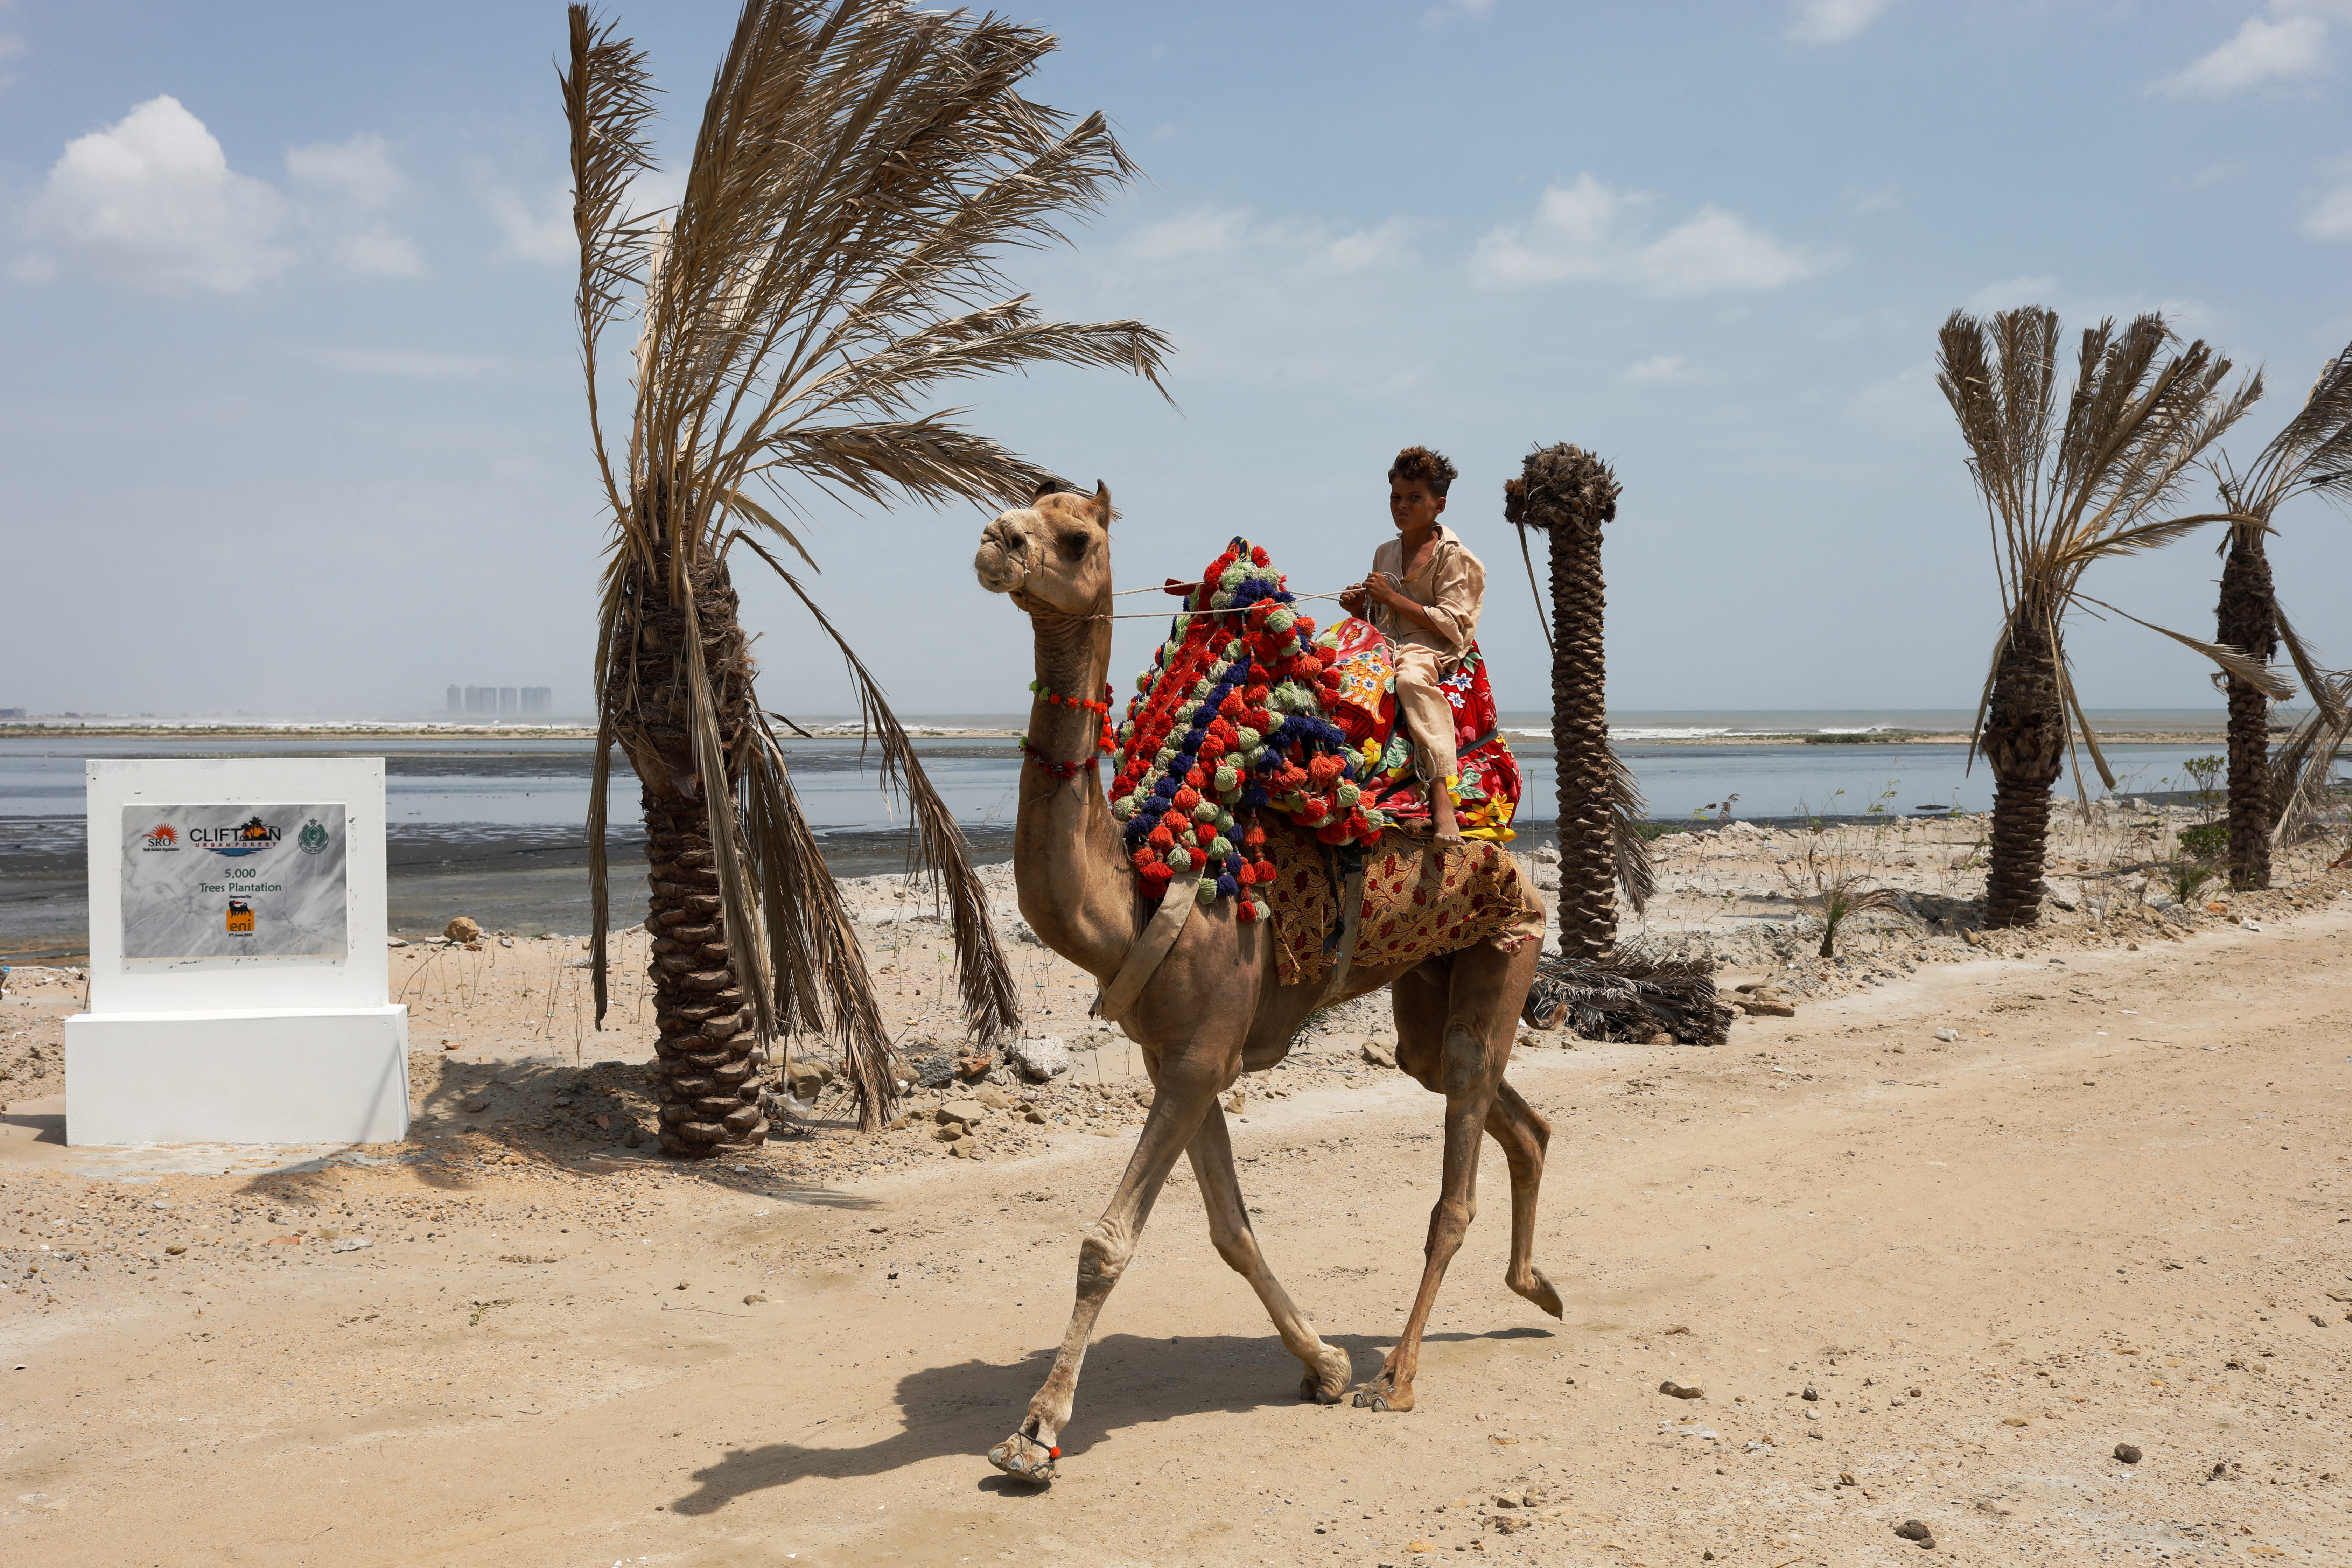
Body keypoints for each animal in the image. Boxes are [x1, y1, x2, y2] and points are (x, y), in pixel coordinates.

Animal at [971, 481, 1562, 1485]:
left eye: (1075, 535)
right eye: (1019, 511)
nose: (994, 541)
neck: (1138, 893)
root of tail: (1514, 862)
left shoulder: (1200, 1056)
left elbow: (1106, 1242)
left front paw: (1036, 1432)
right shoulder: (1181, 1057)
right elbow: (1230, 1229)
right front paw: (1322, 1364)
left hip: (1508, 941)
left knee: (1456, 1174)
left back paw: (1398, 1376)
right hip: (1431, 979)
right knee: (1497, 1104)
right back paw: (1537, 1287)